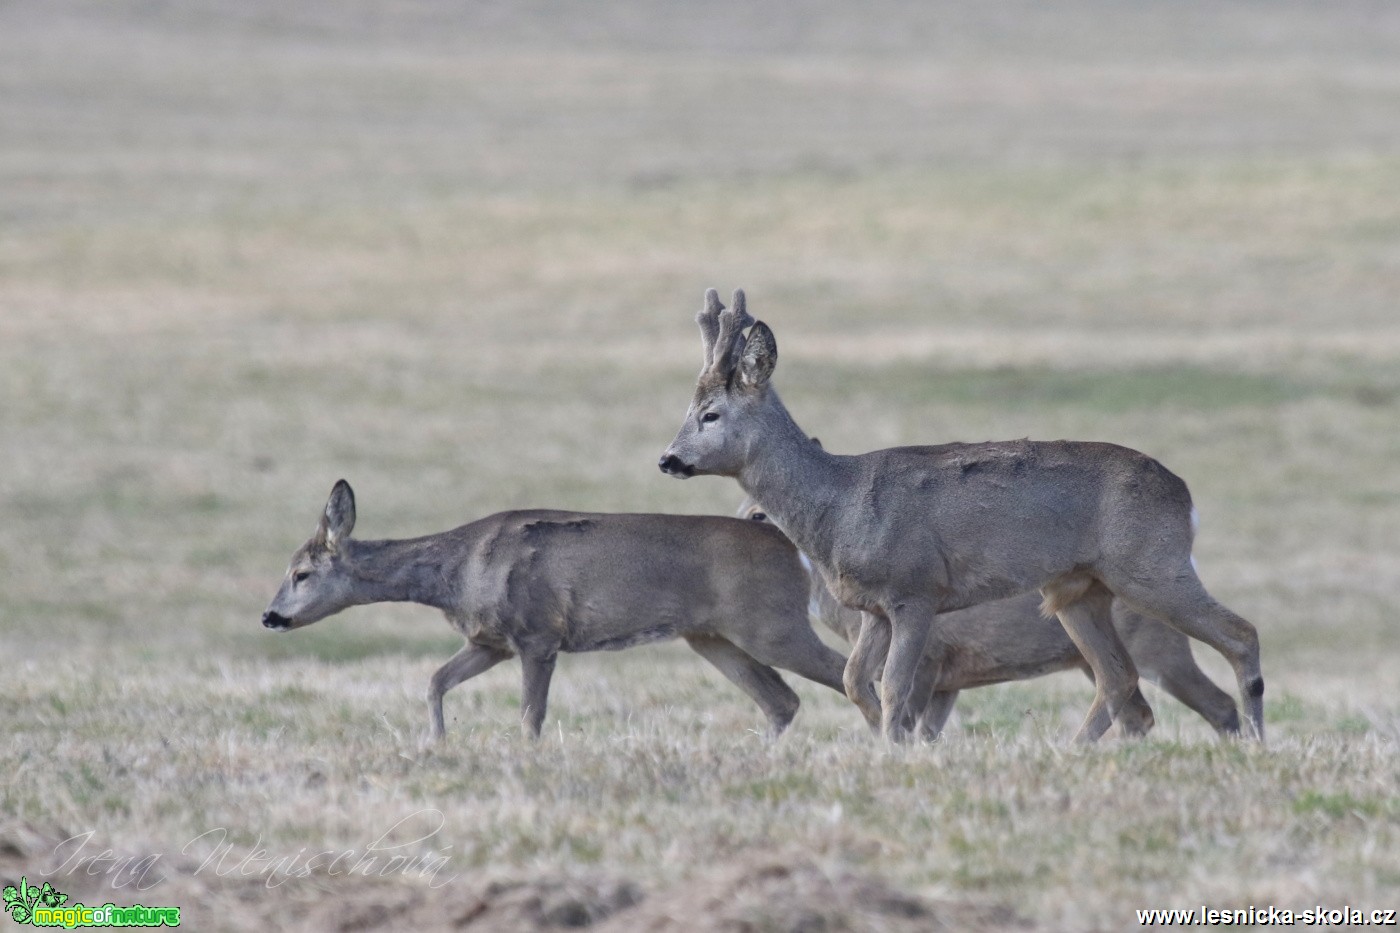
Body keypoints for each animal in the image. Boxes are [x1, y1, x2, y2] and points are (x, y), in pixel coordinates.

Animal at [263, 479, 851, 739]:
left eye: (301, 573)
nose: (270, 616)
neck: (458, 570)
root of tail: (790, 546)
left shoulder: (538, 634)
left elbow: (531, 714)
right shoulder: (490, 642)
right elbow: (434, 681)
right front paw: (437, 743)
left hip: (771, 623)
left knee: (849, 674)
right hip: (714, 637)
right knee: (781, 700)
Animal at [739, 487, 1243, 739]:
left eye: (760, 513)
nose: (733, 528)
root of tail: (1190, 560)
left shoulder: (930, 659)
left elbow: (907, 721)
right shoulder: (949, 679)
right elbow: (928, 732)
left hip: (1160, 645)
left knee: (1217, 702)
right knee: (1135, 710)